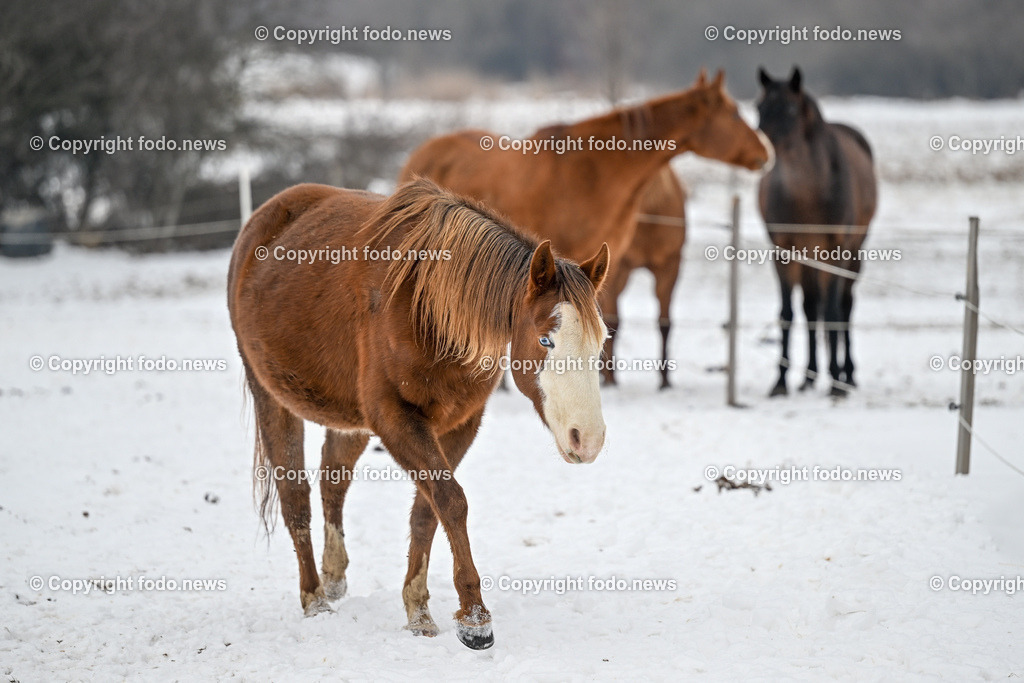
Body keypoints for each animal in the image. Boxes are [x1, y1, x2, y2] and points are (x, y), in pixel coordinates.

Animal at [227, 178, 611, 650]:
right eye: (545, 341)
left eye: (602, 341)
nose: (587, 439)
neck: (428, 309)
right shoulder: (396, 420)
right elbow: (451, 500)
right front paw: (475, 619)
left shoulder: (459, 424)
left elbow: (429, 510)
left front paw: (418, 611)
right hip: (272, 398)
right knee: (294, 496)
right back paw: (314, 598)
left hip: (348, 418)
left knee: (334, 478)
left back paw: (333, 576)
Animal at [603, 166, 687, 389]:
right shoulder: (619, 269)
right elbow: (613, 322)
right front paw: (611, 378)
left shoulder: (670, 267)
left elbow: (665, 323)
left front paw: (665, 381)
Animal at [756, 67, 877, 397]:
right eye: (759, 107)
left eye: (790, 109)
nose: (762, 149)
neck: (808, 193)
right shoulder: (784, 252)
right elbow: (788, 313)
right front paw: (780, 382)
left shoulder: (836, 251)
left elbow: (834, 312)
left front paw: (836, 382)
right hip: (809, 259)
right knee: (811, 308)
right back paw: (809, 376)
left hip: (853, 253)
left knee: (845, 307)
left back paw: (847, 375)